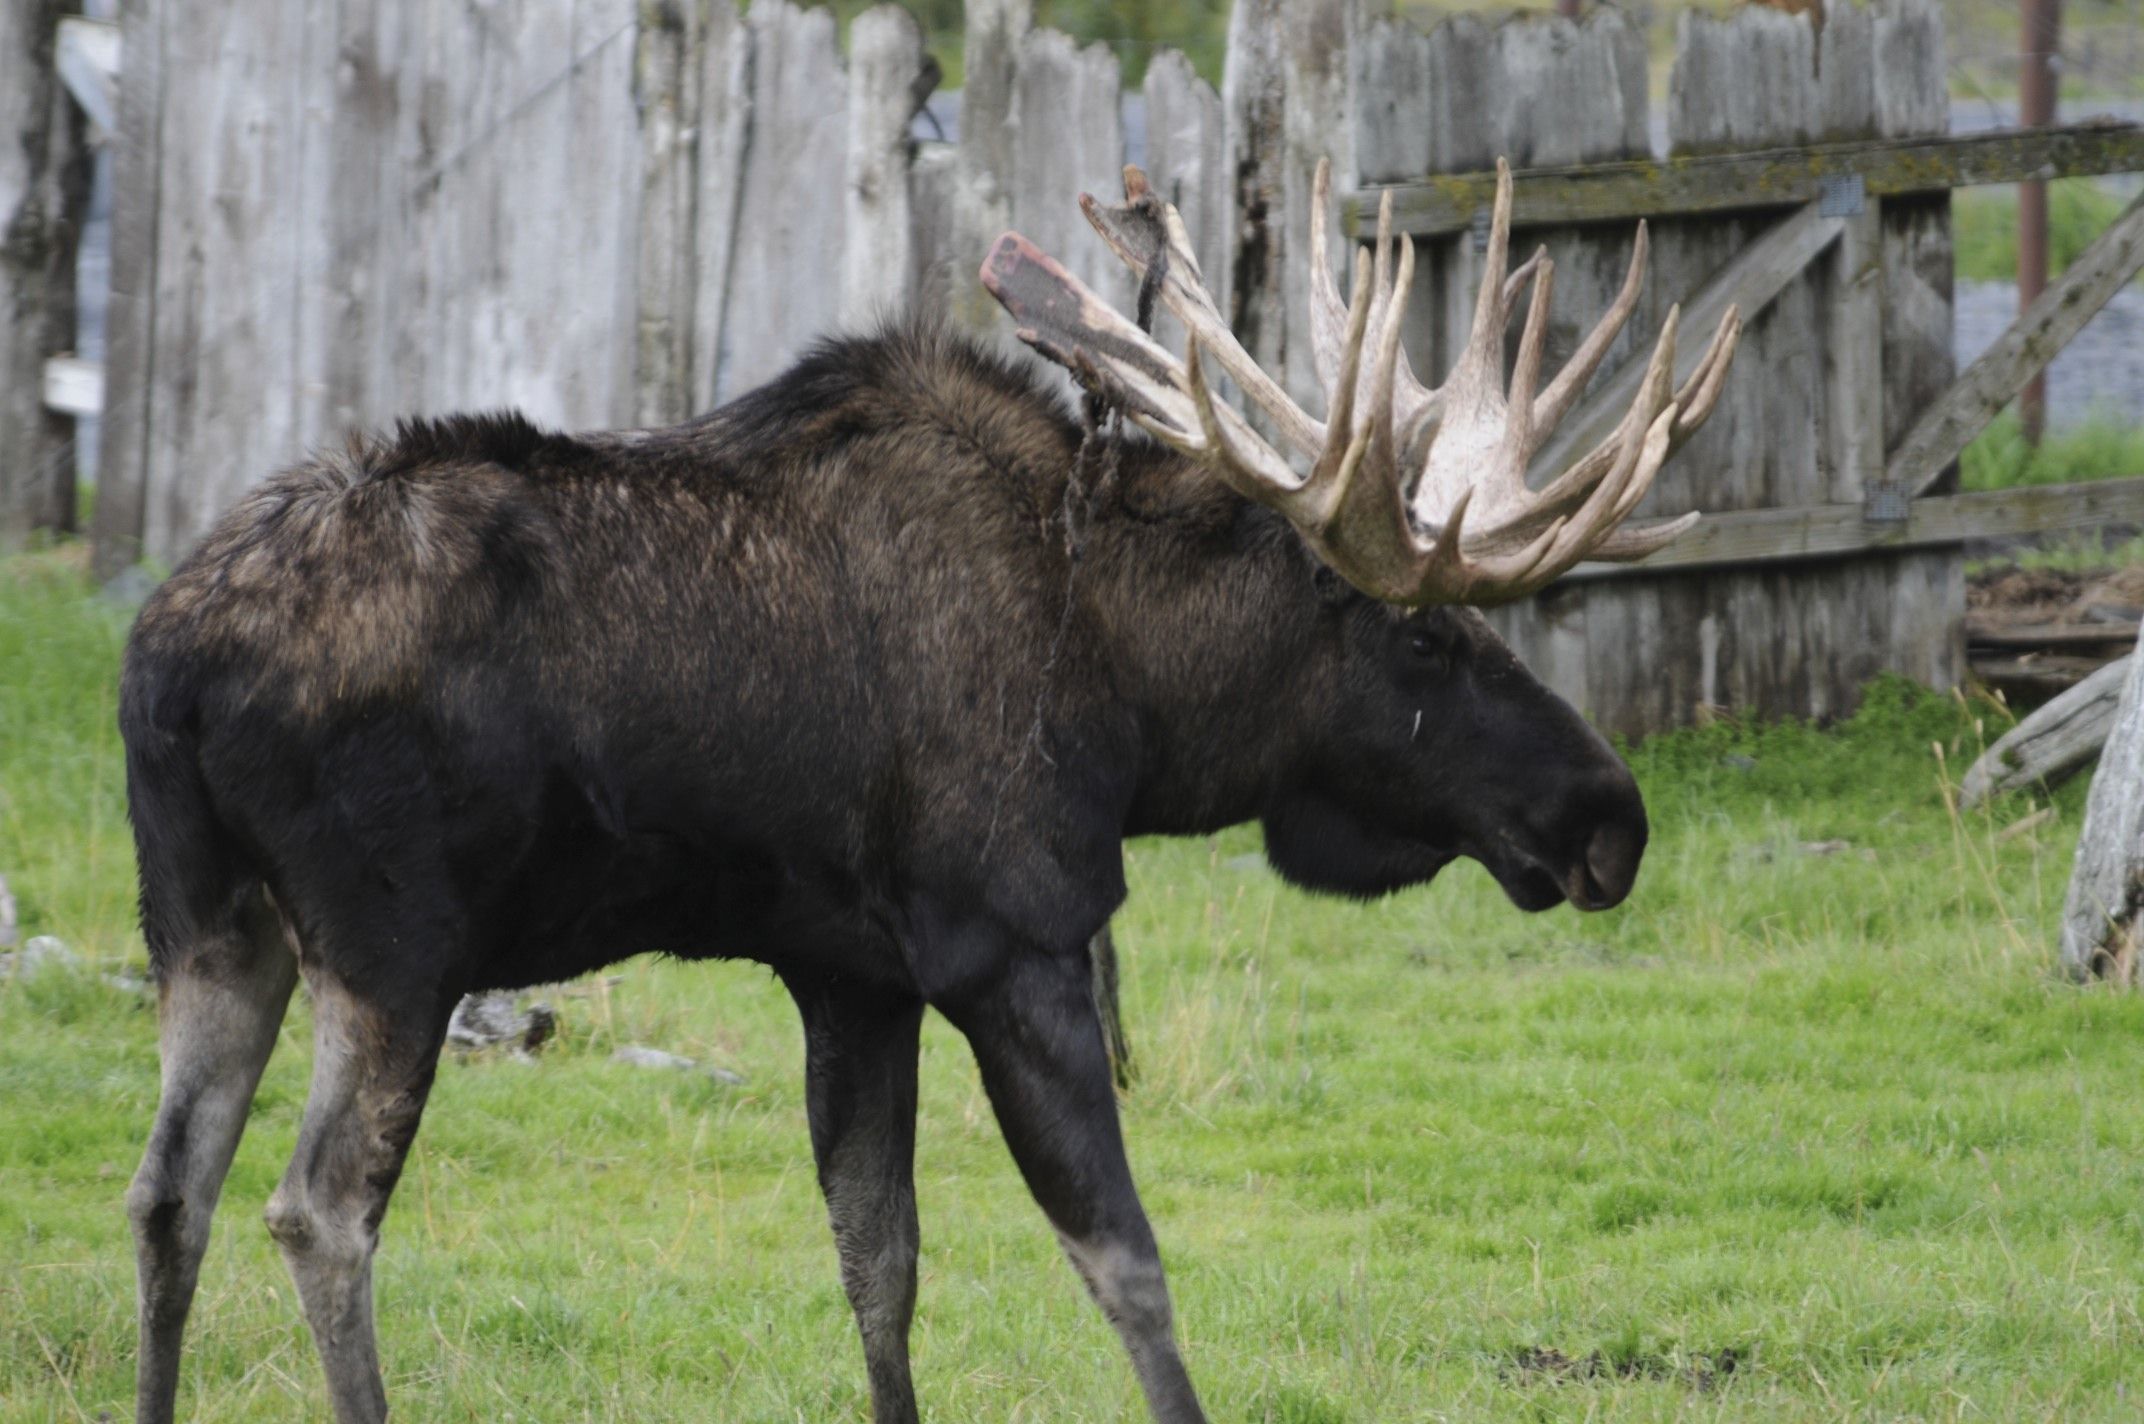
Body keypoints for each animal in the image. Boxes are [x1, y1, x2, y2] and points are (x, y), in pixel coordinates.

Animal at [125, 158, 1740, 1423]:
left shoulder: (852, 974)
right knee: (316, 1212)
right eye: (1424, 633)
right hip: (393, 947)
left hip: (214, 929)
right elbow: (1126, 1261)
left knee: (167, 1196)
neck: (1131, 693)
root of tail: (166, 669)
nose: (1608, 817)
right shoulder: (1012, 941)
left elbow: (878, 1261)